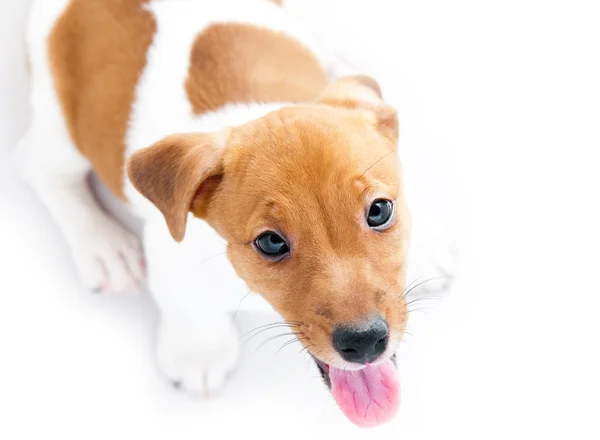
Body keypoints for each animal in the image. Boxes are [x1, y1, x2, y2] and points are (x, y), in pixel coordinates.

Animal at [15, 0, 454, 428]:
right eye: (271, 242)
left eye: (379, 211)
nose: (364, 342)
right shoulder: (170, 248)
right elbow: (187, 304)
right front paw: (199, 351)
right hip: (61, 128)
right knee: (41, 168)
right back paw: (105, 247)